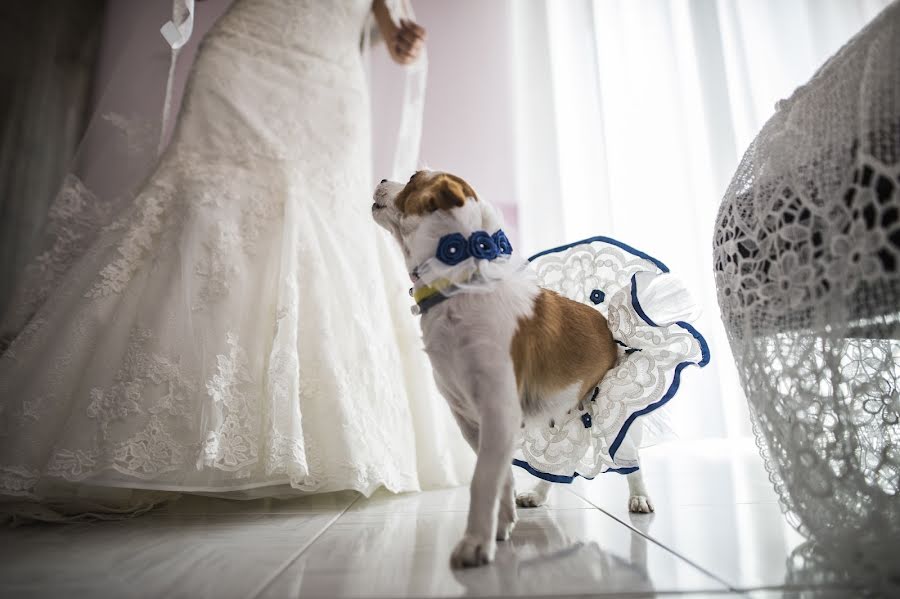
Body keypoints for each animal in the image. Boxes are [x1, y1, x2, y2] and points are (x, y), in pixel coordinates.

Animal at [372, 171, 652, 568]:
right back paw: (537, 494)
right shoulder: (475, 423)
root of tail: (608, 328)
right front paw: (501, 526)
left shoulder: (498, 413)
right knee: (560, 463)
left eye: (412, 178)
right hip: (561, 414)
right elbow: (500, 476)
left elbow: (482, 480)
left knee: (631, 461)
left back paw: (639, 497)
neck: (459, 289)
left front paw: (475, 542)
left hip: (611, 415)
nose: (382, 178)